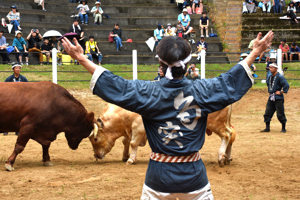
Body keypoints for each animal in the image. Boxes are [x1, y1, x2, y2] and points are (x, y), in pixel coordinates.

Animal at [90, 103, 236, 166]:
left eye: (95, 139)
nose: (96, 156)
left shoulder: (138, 127)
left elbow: (133, 143)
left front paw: (131, 159)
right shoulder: (129, 129)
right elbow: (125, 142)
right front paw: (125, 156)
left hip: (216, 124)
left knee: (226, 136)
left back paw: (221, 157)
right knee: (231, 135)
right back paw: (227, 157)